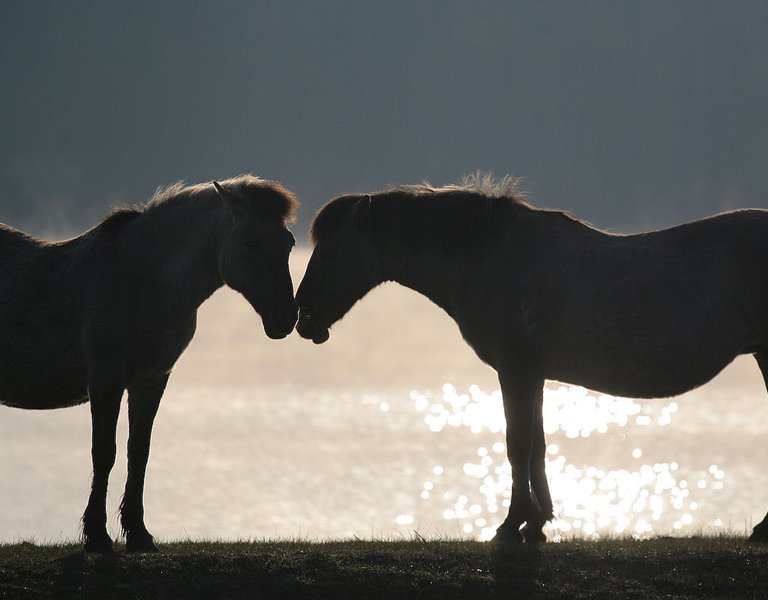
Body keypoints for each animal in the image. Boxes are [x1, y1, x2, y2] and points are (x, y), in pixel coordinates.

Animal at [0, 173, 298, 552]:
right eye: (250, 242)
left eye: (289, 243)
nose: (285, 317)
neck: (143, 279)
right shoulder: (106, 380)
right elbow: (104, 452)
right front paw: (97, 536)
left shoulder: (152, 380)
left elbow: (138, 451)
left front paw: (138, 533)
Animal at [294, 173, 768, 544]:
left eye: (331, 251)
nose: (303, 315)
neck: (490, 257)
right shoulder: (532, 375)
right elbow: (537, 445)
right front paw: (537, 523)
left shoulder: (517, 370)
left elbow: (517, 444)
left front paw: (512, 524)